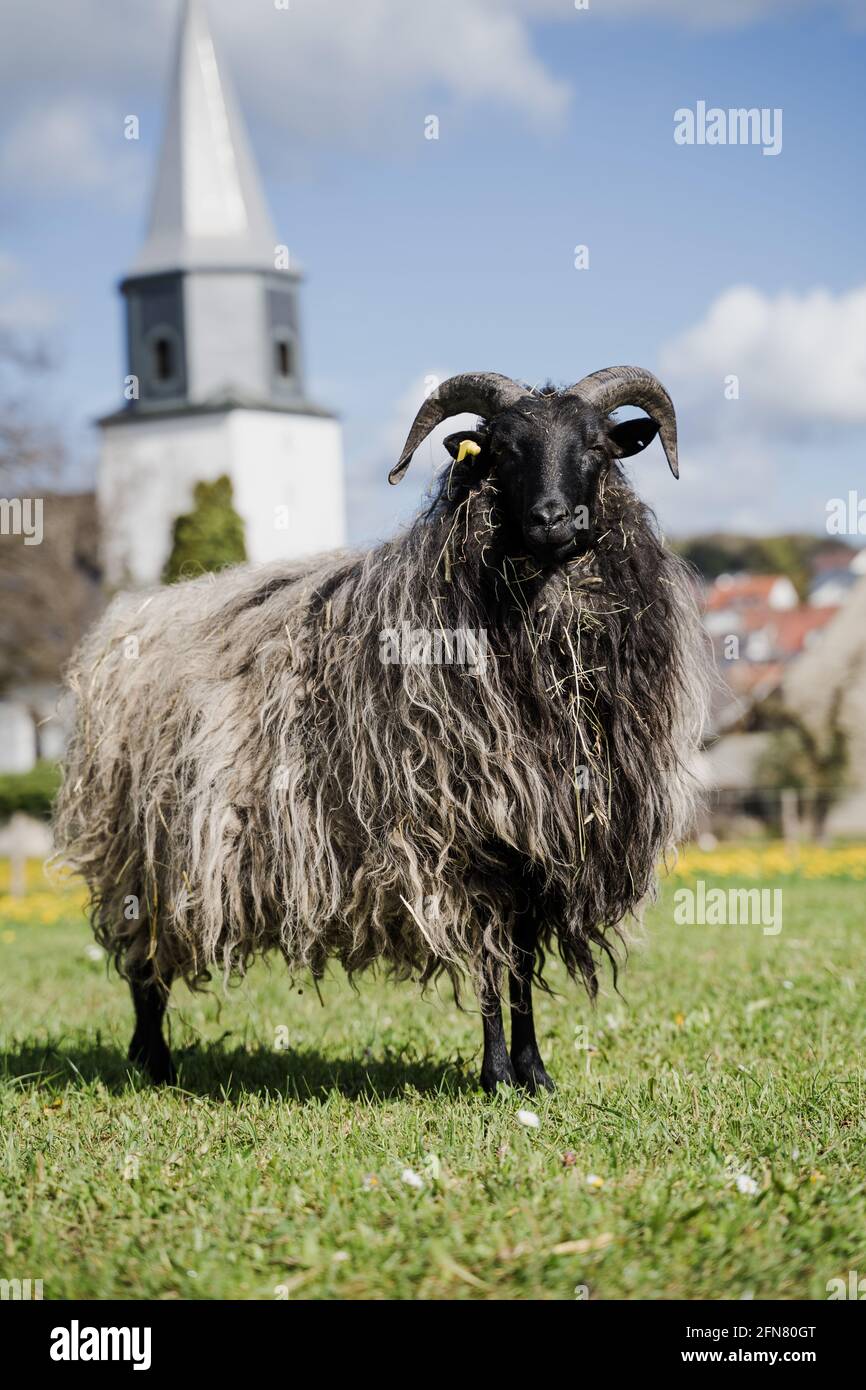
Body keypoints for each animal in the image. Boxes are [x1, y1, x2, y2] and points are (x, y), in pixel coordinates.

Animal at [54, 366, 710, 1093]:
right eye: (503, 450)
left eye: (598, 447)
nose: (553, 520)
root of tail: (127, 622)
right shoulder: (458, 836)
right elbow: (489, 961)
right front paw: (496, 1075)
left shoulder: (540, 841)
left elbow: (519, 968)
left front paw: (534, 1072)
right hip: (142, 851)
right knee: (144, 963)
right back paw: (154, 1062)